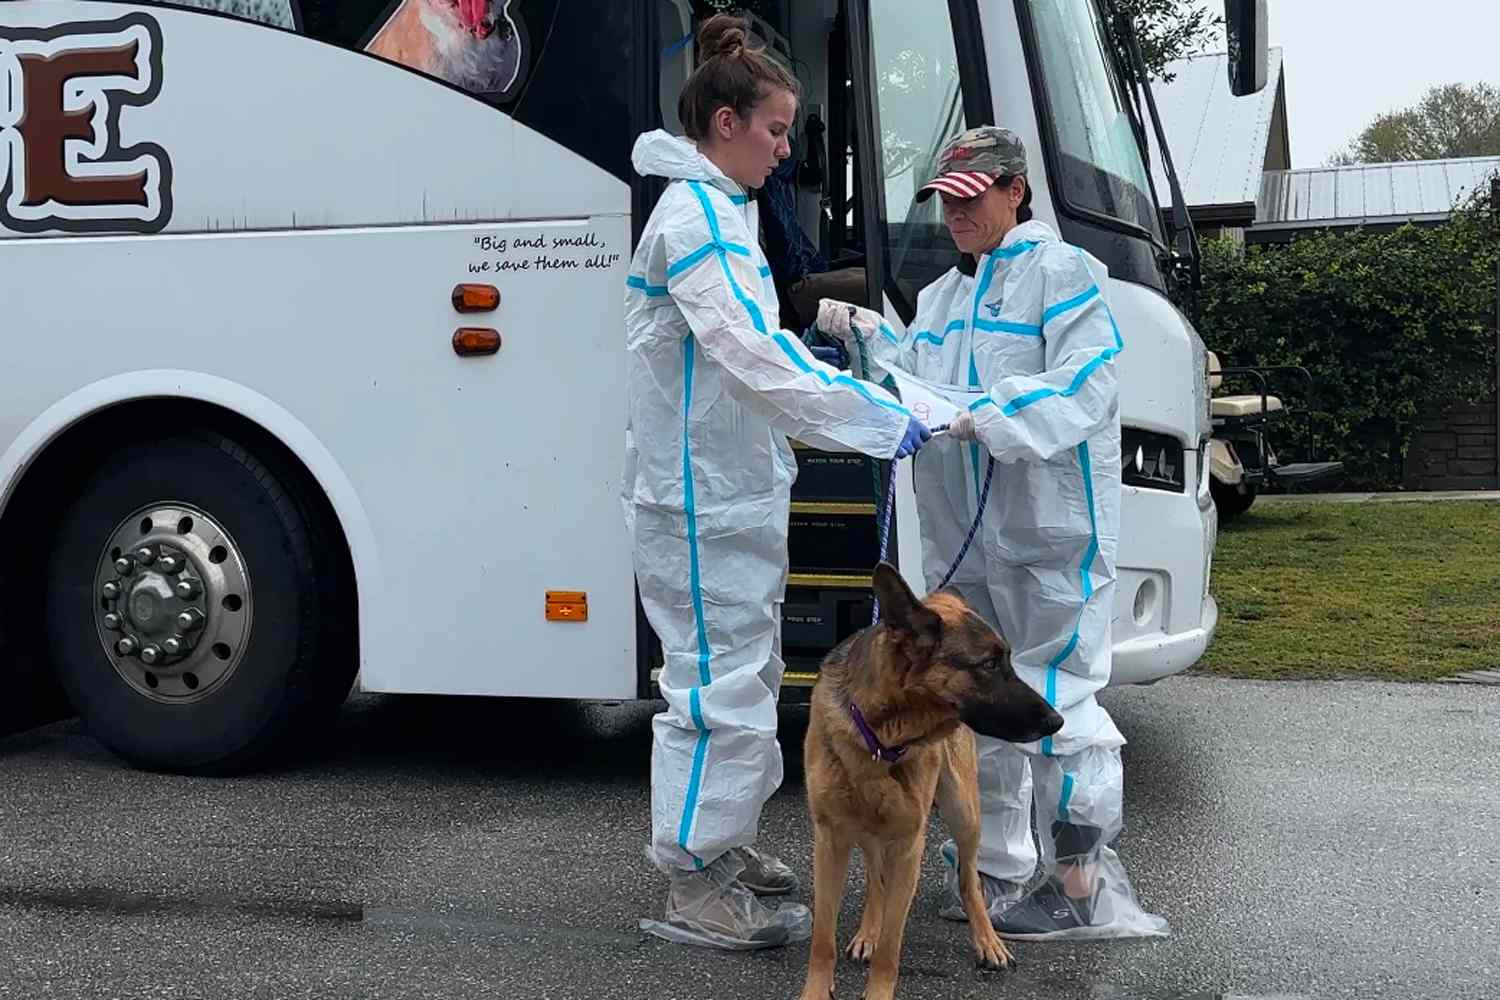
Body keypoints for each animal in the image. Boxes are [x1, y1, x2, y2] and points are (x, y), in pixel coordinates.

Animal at [804, 563, 1062, 1000]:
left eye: (1007, 660)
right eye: (989, 665)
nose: (1057, 720)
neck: (880, 737)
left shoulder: (910, 845)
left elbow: (891, 948)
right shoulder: (830, 841)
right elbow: (823, 940)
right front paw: (817, 990)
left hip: (963, 812)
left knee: (969, 879)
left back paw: (987, 940)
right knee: (875, 875)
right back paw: (869, 930)